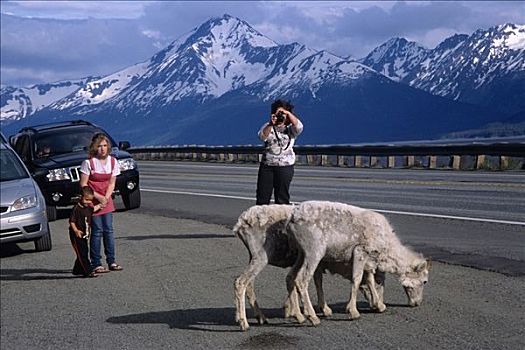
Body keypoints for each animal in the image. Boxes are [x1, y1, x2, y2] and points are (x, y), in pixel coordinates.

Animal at [231, 202, 382, 330]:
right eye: (377, 283)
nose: (378, 306)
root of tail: (240, 224)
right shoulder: (317, 261)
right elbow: (313, 283)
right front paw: (315, 311)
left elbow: (297, 282)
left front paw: (293, 311)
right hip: (261, 256)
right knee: (242, 281)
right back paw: (244, 323)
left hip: (253, 256)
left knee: (249, 284)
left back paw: (257, 317)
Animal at [286, 201, 430, 326]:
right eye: (424, 281)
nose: (417, 303)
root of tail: (292, 218)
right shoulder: (360, 252)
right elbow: (357, 279)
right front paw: (353, 312)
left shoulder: (369, 261)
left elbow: (370, 280)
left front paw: (379, 306)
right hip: (314, 252)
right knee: (301, 280)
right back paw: (313, 317)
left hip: (302, 254)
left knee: (290, 277)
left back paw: (299, 316)